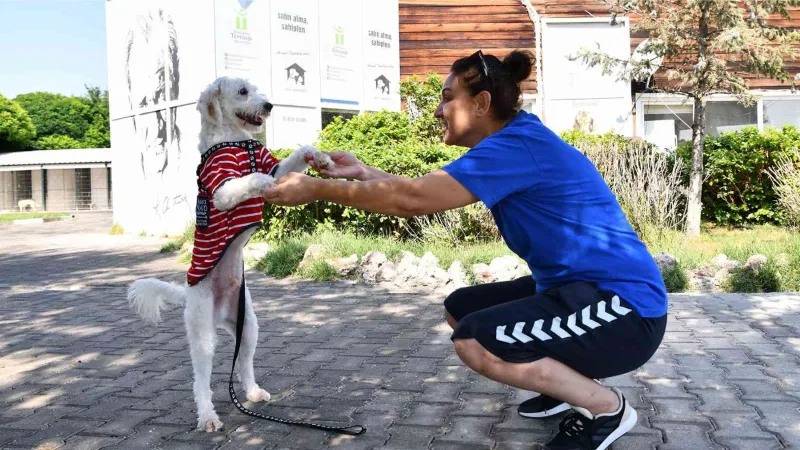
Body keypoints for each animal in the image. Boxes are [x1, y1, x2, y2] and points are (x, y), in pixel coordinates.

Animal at [128, 76, 334, 432]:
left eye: (257, 89)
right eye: (242, 92)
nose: (269, 105)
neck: (235, 141)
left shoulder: (275, 164)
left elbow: (293, 157)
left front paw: (319, 157)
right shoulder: (223, 191)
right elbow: (254, 178)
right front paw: (267, 185)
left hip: (248, 326)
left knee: (244, 365)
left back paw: (252, 392)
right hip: (202, 335)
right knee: (200, 381)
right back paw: (208, 416)